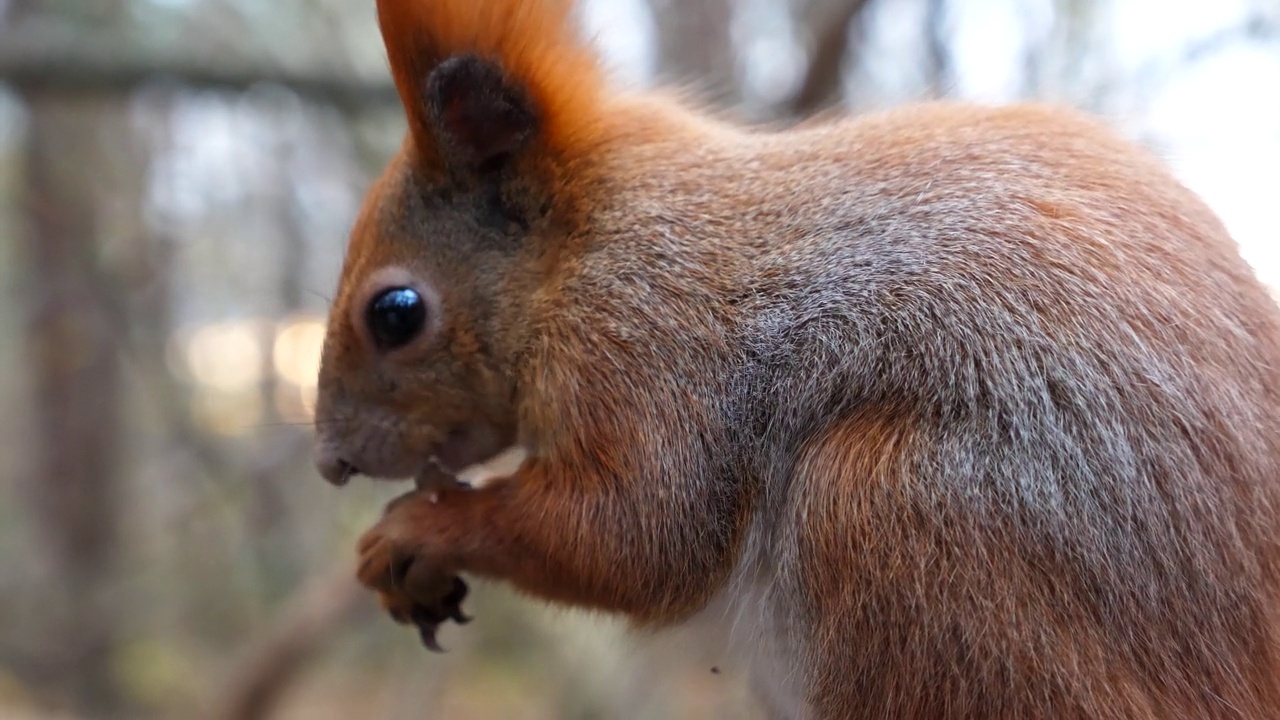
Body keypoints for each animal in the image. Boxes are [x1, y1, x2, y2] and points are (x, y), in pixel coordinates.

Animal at [307, 1, 1280, 712]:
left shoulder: (645, 339)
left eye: (396, 313)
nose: (329, 461)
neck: (584, 244)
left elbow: (637, 534)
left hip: (898, 512)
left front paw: (414, 530)